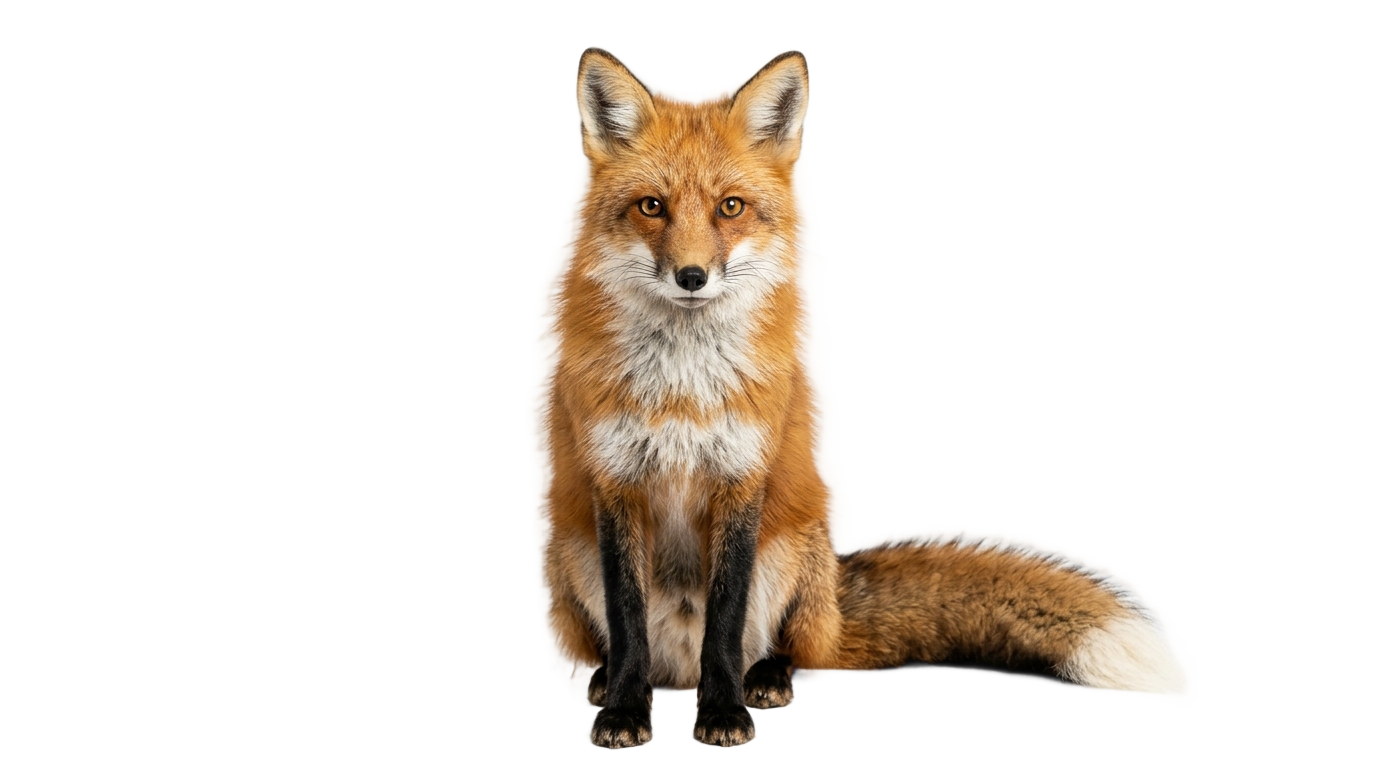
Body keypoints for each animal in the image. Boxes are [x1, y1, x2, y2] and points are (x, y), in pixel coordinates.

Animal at [540, 47, 1177, 748]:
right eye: (651, 206)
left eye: (731, 207)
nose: (692, 276)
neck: (683, 388)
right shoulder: (615, 482)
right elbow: (627, 624)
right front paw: (622, 712)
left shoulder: (742, 478)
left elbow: (726, 624)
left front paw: (724, 711)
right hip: (568, 552)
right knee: (632, 645)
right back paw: (608, 681)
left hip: (792, 550)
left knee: (782, 648)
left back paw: (765, 678)